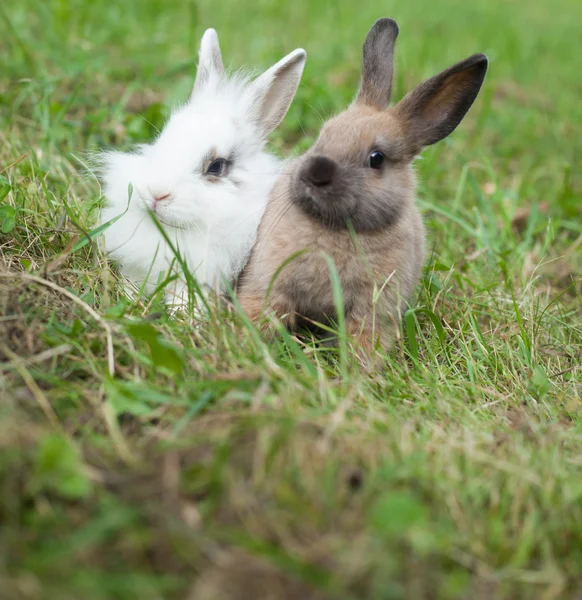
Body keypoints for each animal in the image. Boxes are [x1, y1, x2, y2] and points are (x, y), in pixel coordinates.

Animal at [236, 18, 488, 354]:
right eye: (323, 135)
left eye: (376, 158)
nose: (315, 173)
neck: (335, 229)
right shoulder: (268, 284)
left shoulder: (373, 310)